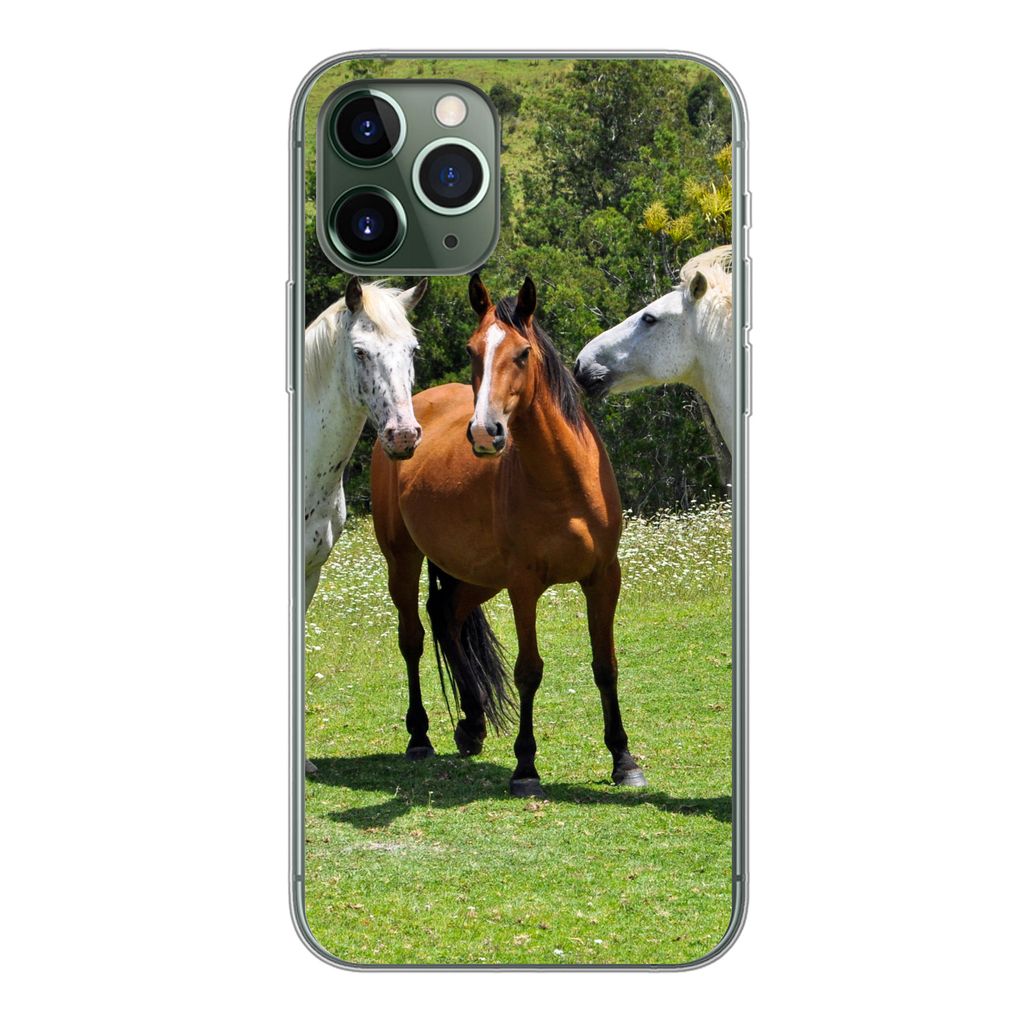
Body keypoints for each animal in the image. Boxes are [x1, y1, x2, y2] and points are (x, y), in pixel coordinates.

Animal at [371, 274, 646, 798]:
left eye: (522, 353)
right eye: (472, 349)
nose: (485, 433)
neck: (564, 481)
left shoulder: (604, 577)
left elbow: (606, 665)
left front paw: (624, 760)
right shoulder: (523, 586)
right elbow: (528, 671)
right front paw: (526, 767)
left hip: (479, 575)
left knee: (447, 615)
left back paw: (472, 723)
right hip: (403, 558)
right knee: (413, 638)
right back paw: (420, 737)